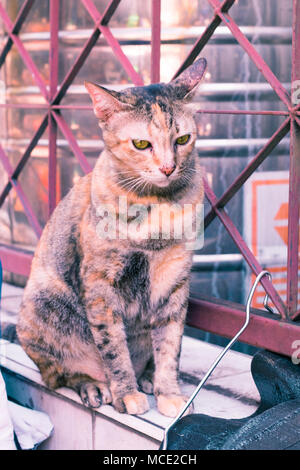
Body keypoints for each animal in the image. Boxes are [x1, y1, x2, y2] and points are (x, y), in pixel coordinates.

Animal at [17, 57, 206, 416]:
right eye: (141, 144)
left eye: (183, 139)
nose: (168, 168)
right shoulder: (101, 285)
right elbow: (113, 348)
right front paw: (126, 394)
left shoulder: (175, 280)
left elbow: (170, 345)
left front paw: (169, 393)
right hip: (43, 305)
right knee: (58, 374)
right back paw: (95, 387)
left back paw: (146, 378)